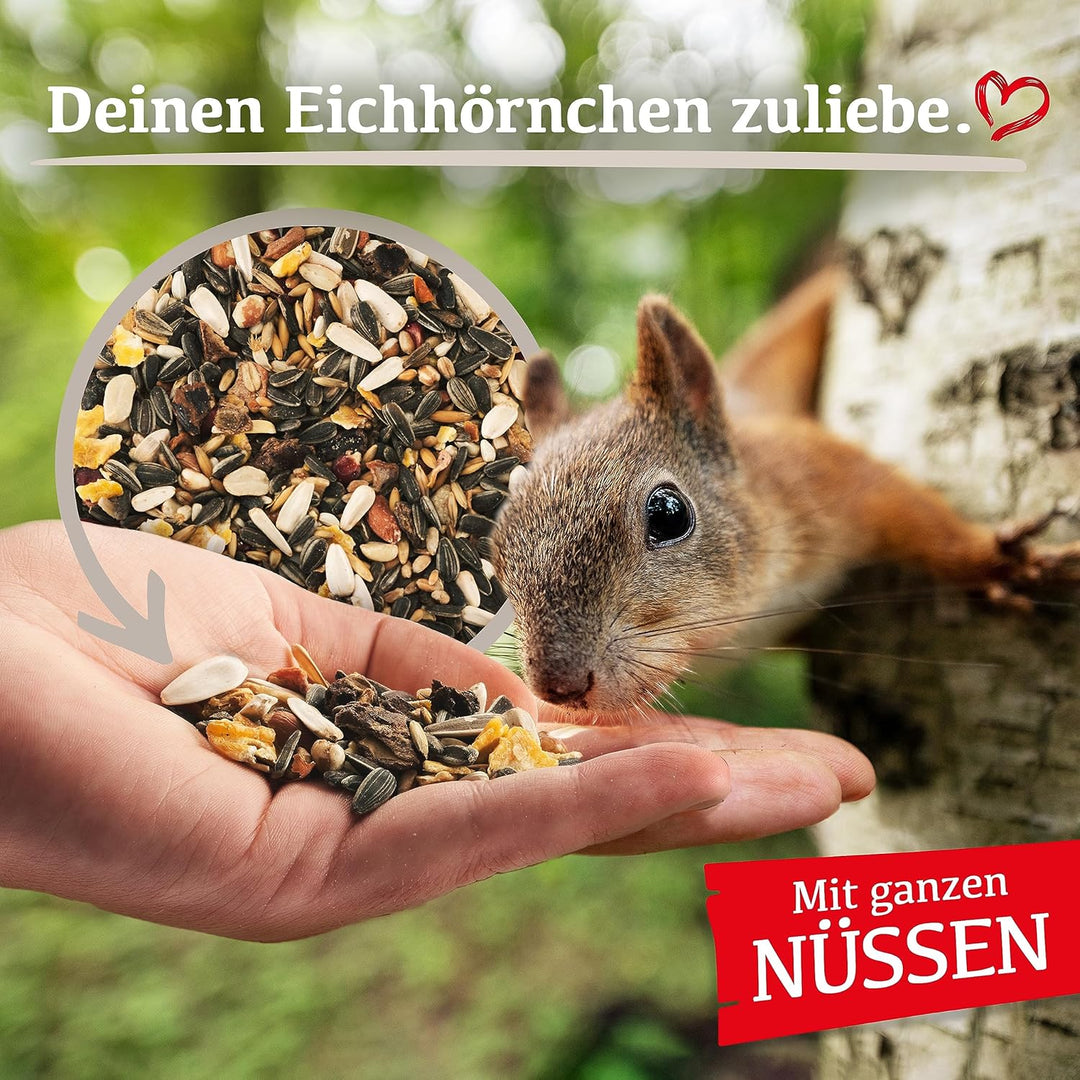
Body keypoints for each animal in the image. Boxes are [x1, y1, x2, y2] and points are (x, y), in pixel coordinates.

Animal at [490, 268, 1080, 713]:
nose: (558, 688)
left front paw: (998, 562)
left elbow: (918, 516)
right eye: (497, 548)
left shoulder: (824, 476)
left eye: (668, 513)